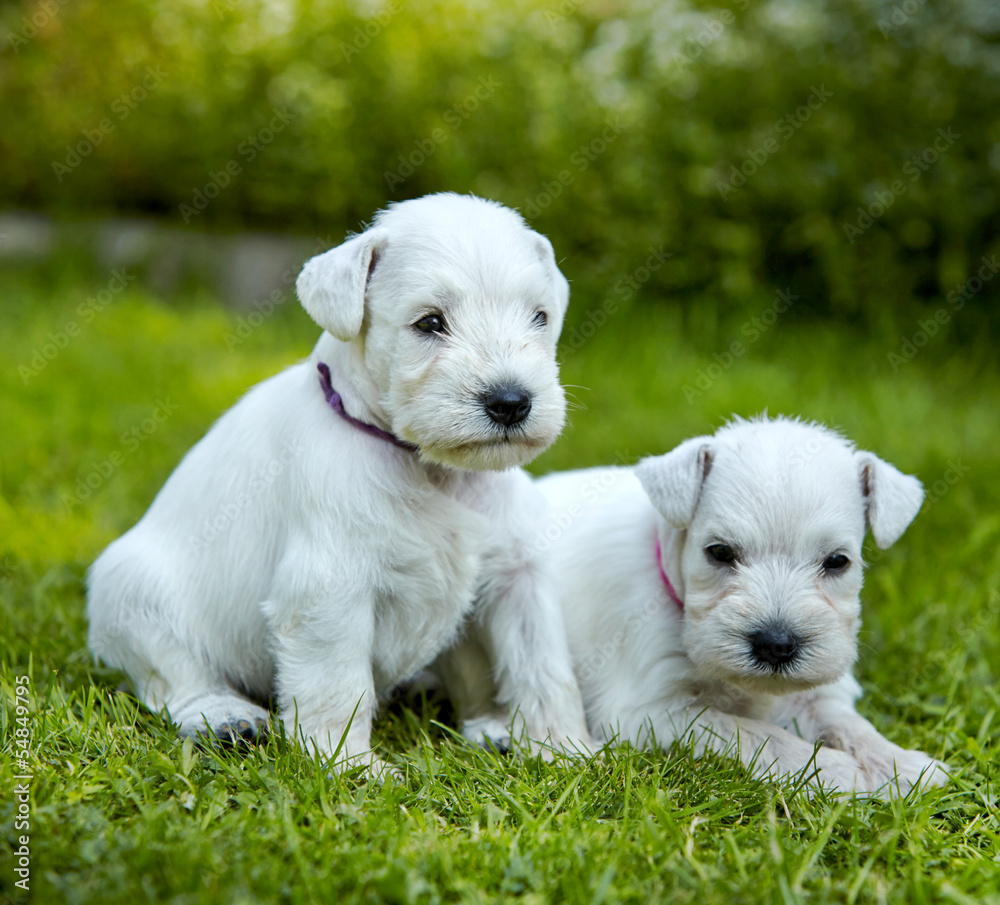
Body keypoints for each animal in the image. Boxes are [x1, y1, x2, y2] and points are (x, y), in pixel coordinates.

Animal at [88, 194, 592, 772]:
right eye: (430, 322)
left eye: (539, 317)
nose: (511, 402)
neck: (431, 467)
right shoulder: (329, 589)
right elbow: (337, 683)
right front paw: (347, 765)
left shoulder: (516, 580)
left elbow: (544, 670)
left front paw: (566, 749)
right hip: (130, 594)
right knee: (173, 675)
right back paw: (224, 716)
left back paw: (486, 726)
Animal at [536, 416, 948, 800]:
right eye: (719, 551)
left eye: (837, 560)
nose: (776, 645)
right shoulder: (649, 712)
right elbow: (755, 734)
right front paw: (836, 771)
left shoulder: (817, 694)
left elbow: (850, 724)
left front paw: (903, 767)